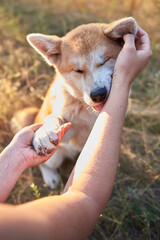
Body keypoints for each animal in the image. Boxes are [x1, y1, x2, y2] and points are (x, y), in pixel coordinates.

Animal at [11, 17, 137, 189]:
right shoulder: (68, 135)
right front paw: (44, 133)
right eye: (78, 70)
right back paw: (50, 176)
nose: (98, 94)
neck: (88, 112)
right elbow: (55, 118)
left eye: (104, 61)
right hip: (55, 157)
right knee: (44, 164)